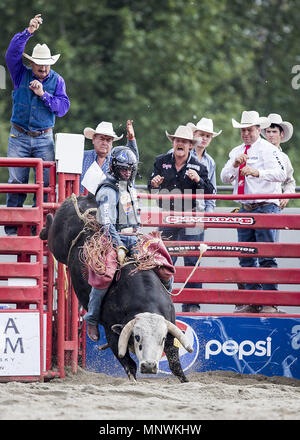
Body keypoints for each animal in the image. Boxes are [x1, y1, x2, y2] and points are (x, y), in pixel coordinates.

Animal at [39, 192, 191, 382]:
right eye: (137, 337)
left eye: (162, 339)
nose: (149, 366)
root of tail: (86, 199)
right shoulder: (112, 335)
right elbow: (129, 365)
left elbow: (175, 364)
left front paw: (185, 381)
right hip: (57, 243)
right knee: (50, 234)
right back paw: (46, 222)